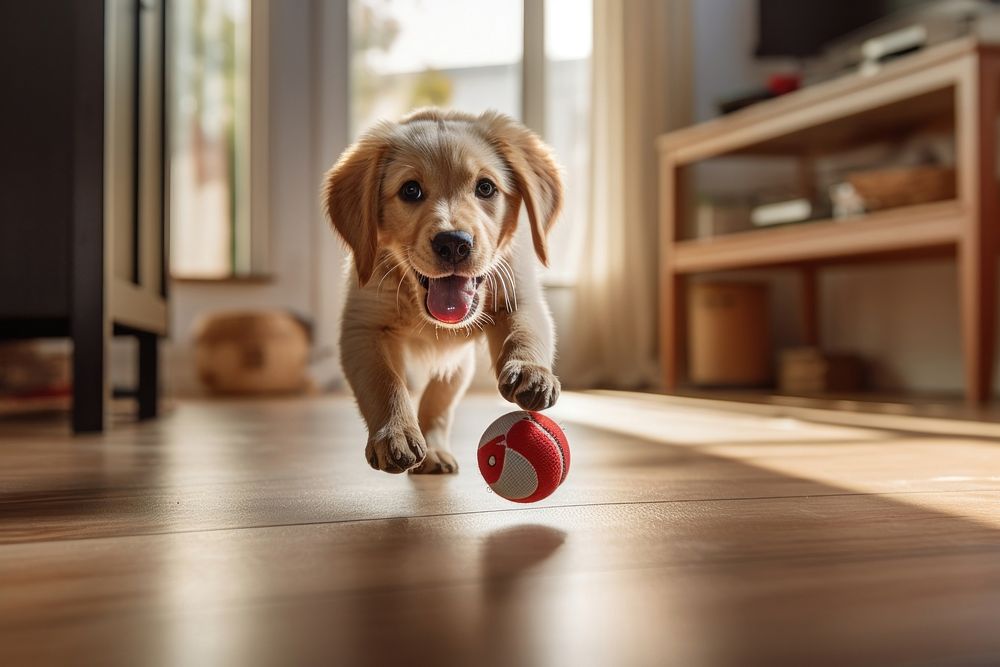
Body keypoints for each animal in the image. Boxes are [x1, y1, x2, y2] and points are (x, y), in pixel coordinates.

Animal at [324, 108, 568, 474]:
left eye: (485, 187)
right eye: (410, 190)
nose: (453, 243)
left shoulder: (516, 291)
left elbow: (525, 332)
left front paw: (531, 371)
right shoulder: (362, 326)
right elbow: (384, 381)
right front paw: (394, 433)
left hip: (458, 364)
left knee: (440, 398)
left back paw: (435, 450)